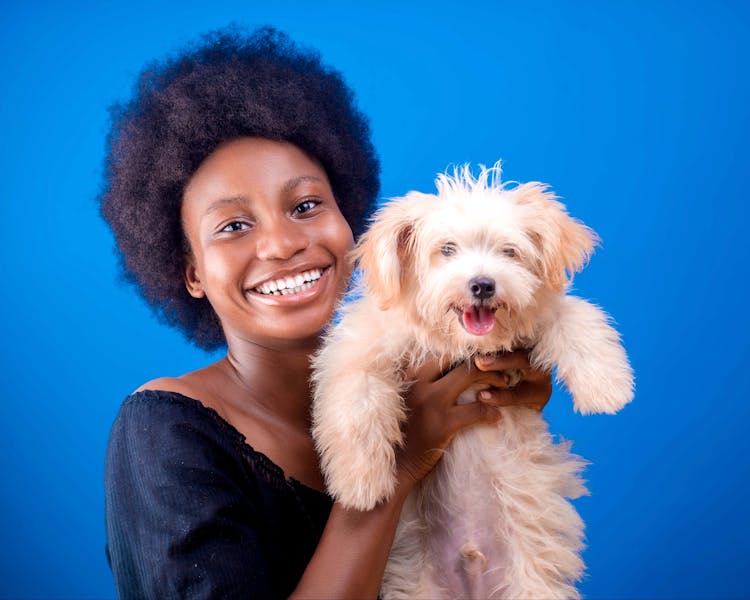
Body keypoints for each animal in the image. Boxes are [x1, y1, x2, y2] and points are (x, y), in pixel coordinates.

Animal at [312, 164, 636, 600]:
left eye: (509, 252)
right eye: (447, 249)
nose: (483, 284)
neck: (463, 344)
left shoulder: (539, 309)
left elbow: (574, 317)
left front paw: (606, 386)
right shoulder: (360, 345)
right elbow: (356, 399)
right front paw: (359, 484)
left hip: (532, 580)